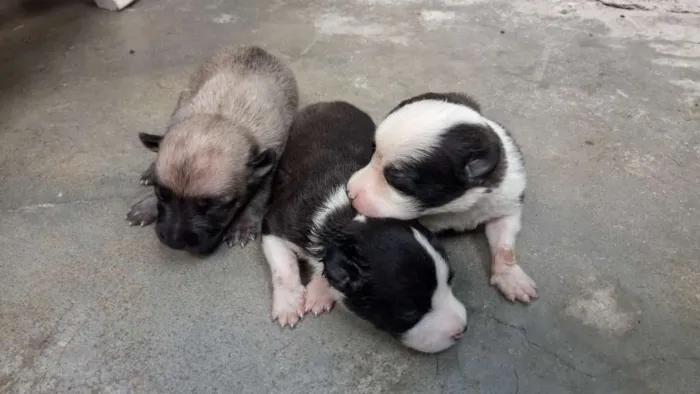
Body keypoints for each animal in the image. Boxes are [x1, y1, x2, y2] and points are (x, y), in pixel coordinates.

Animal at [126, 44, 298, 254]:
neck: (222, 117)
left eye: (213, 206)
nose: (174, 243)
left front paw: (243, 224)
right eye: (161, 194)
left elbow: (258, 197)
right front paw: (147, 204)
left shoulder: (272, 161)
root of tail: (256, 48)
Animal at [260, 101, 468, 354]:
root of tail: (331, 102)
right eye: (409, 313)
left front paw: (320, 291)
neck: (347, 220)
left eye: (450, 281)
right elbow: (284, 267)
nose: (461, 330)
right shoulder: (275, 224)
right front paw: (289, 304)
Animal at [346, 92, 536, 302]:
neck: (452, 206)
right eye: (372, 150)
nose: (349, 192)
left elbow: (504, 245)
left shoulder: (505, 202)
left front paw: (510, 277)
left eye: (396, 180)